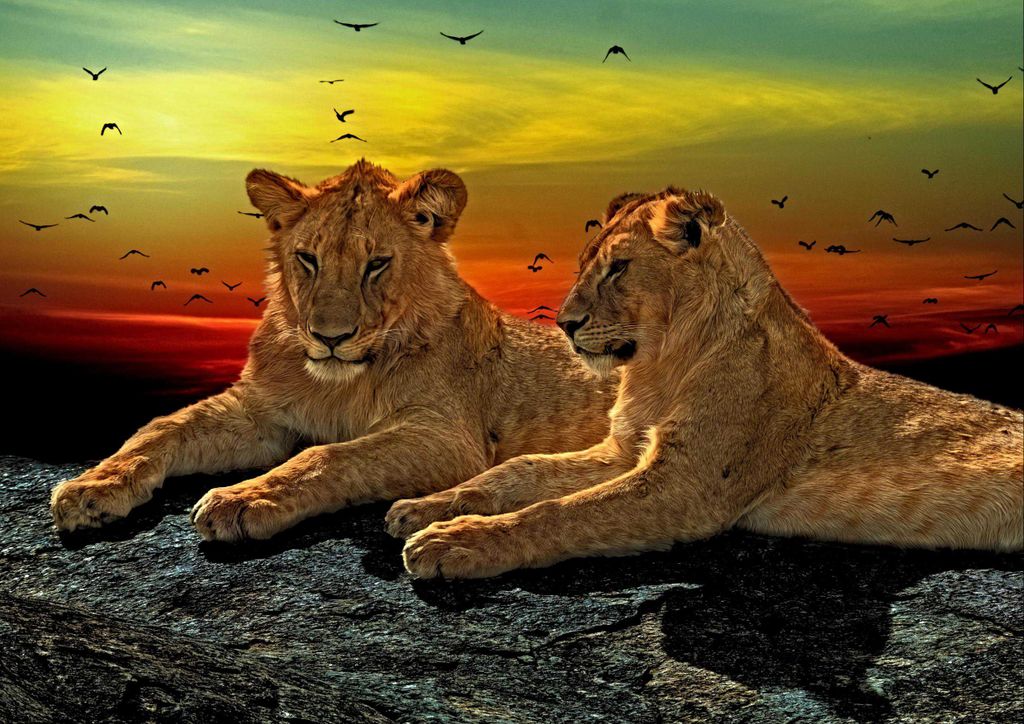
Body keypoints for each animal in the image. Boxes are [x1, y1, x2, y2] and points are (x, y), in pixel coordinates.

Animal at [50, 160, 616, 541]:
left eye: (377, 264)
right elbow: (162, 427)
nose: (330, 337)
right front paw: (90, 488)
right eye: (308, 258)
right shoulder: (261, 412)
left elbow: (327, 455)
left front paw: (244, 497)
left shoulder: (448, 437)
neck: (339, 384)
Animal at [387, 186, 1024, 579]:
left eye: (619, 267)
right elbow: (519, 471)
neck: (660, 365)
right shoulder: (624, 452)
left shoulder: (686, 487)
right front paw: (424, 507)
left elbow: (560, 512)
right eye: (585, 263)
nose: (565, 324)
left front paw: (455, 542)